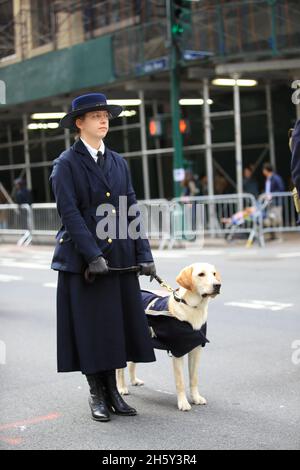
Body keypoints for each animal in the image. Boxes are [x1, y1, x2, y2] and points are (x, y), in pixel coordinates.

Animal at [116, 264, 221, 412]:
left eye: (214, 274)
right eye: (201, 274)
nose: (218, 285)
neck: (193, 307)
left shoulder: (196, 349)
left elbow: (194, 378)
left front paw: (196, 398)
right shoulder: (178, 352)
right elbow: (180, 381)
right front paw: (183, 403)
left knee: (132, 362)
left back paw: (134, 380)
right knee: (119, 369)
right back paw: (121, 387)